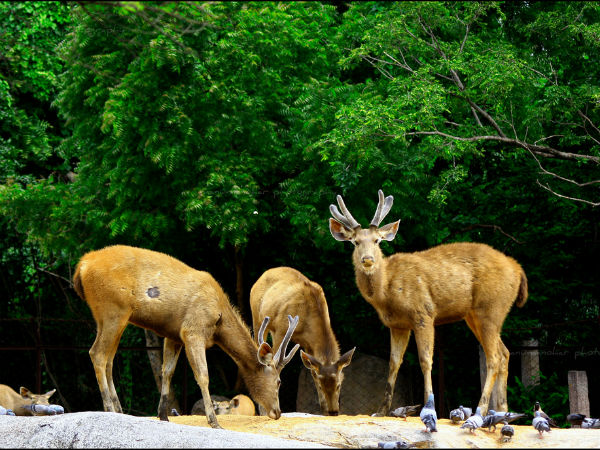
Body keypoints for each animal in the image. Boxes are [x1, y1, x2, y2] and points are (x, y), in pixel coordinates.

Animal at [72, 244, 300, 428]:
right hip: (113, 310)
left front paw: (163, 415)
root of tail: (81, 267)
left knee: (109, 359)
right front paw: (214, 421)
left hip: (110, 317)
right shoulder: (192, 330)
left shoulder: (172, 334)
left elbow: (167, 371)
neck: (219, 320)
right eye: (279, 381)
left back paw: (119, 410)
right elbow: (203, 375)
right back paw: (109, 408)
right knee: (97, 354)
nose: (277, 412)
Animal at [250, 266, 356, 416]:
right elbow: (276, 366)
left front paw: (323, 410)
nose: (333, 411)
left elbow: (312, 371)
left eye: (339, 384)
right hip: (257, 317)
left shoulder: (309, 344)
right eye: (321, 386)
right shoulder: (281, 329)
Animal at [328, 190, 528, 418]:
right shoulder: (397, 325)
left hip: (491, 307)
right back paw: (503, 412)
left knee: (493, 357)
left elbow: (425, 360)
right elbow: (394, 363)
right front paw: (381, 411)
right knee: (504, 353)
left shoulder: (423, 313)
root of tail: (518, 269)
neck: (386, 292)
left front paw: (428, 406)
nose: (368, 259)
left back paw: (481, 409)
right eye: (355, 242)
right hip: (476, 315)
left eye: (377, 240)